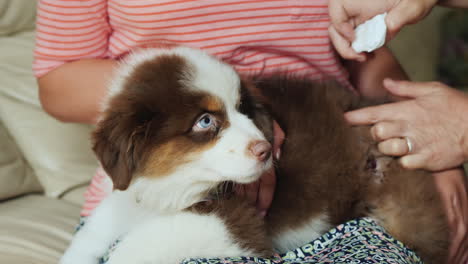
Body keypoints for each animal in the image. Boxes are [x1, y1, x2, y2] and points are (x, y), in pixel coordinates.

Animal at [59, 47, 450, 264]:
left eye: (242, 108)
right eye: (205, 121)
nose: (265, 149)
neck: (177, 184)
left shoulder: (234, 220)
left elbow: (139, 245)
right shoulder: (135, 191)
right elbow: (95, 229)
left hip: (403, 208)